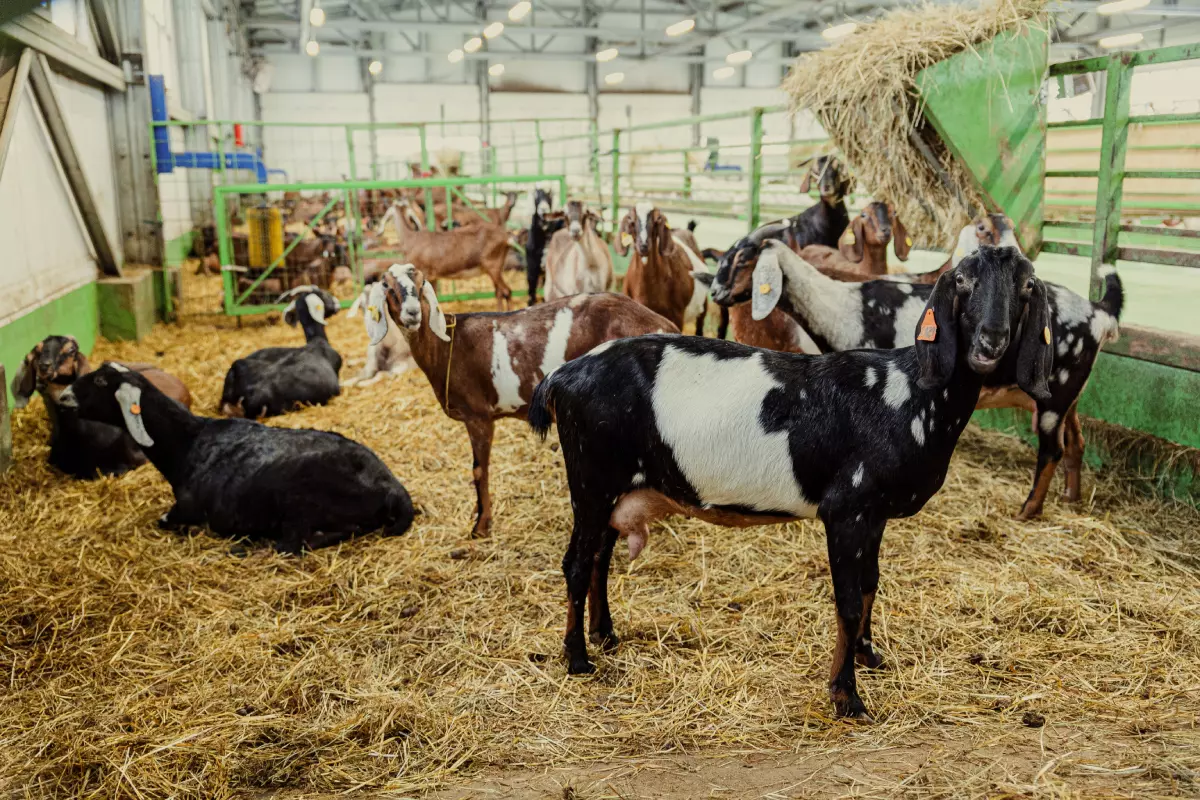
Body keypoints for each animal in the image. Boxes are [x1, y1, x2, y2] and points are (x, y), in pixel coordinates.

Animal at [62, 367, 417, 554]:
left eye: (99, 381)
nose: (64, 397)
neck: (188, 442)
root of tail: (393, 489)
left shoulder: (186, 510)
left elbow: (164, 520)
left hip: (300, 505)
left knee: (295, 543)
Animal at [530, 245, 1056, 719]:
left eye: (1027, 285)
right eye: (962, 280)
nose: (990, 342)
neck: (908, 393)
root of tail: (562, 376)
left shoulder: (875, 514)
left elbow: (871, 585)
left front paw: (869, 655)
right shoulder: (847, 509)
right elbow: (848, 601)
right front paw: (846, 697)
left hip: (615, 489)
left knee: (599, 559)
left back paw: (606, 635)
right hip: (591, 480)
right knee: (576, 564)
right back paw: (578, 658)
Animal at [705, 237, 1118, 522]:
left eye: (743, 258)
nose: (715, 292)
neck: (843, 310)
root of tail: (1099, 313)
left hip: (1054, 396)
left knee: (1052, 450)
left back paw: (1028, 510)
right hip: (1067, 393)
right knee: (1077, 442)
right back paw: (1070, 497)